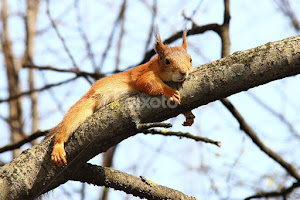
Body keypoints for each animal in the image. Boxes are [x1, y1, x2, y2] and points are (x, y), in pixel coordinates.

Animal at [49, 28, 195, 167]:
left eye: (190, 59)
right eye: (167, 61)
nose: (183, 72)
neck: (155, 65)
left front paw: (188, 114)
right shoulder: (143, 75)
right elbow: (147, 82)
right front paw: (170, 92)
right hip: (85, 104)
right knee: (68, 124)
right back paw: (58, 147)